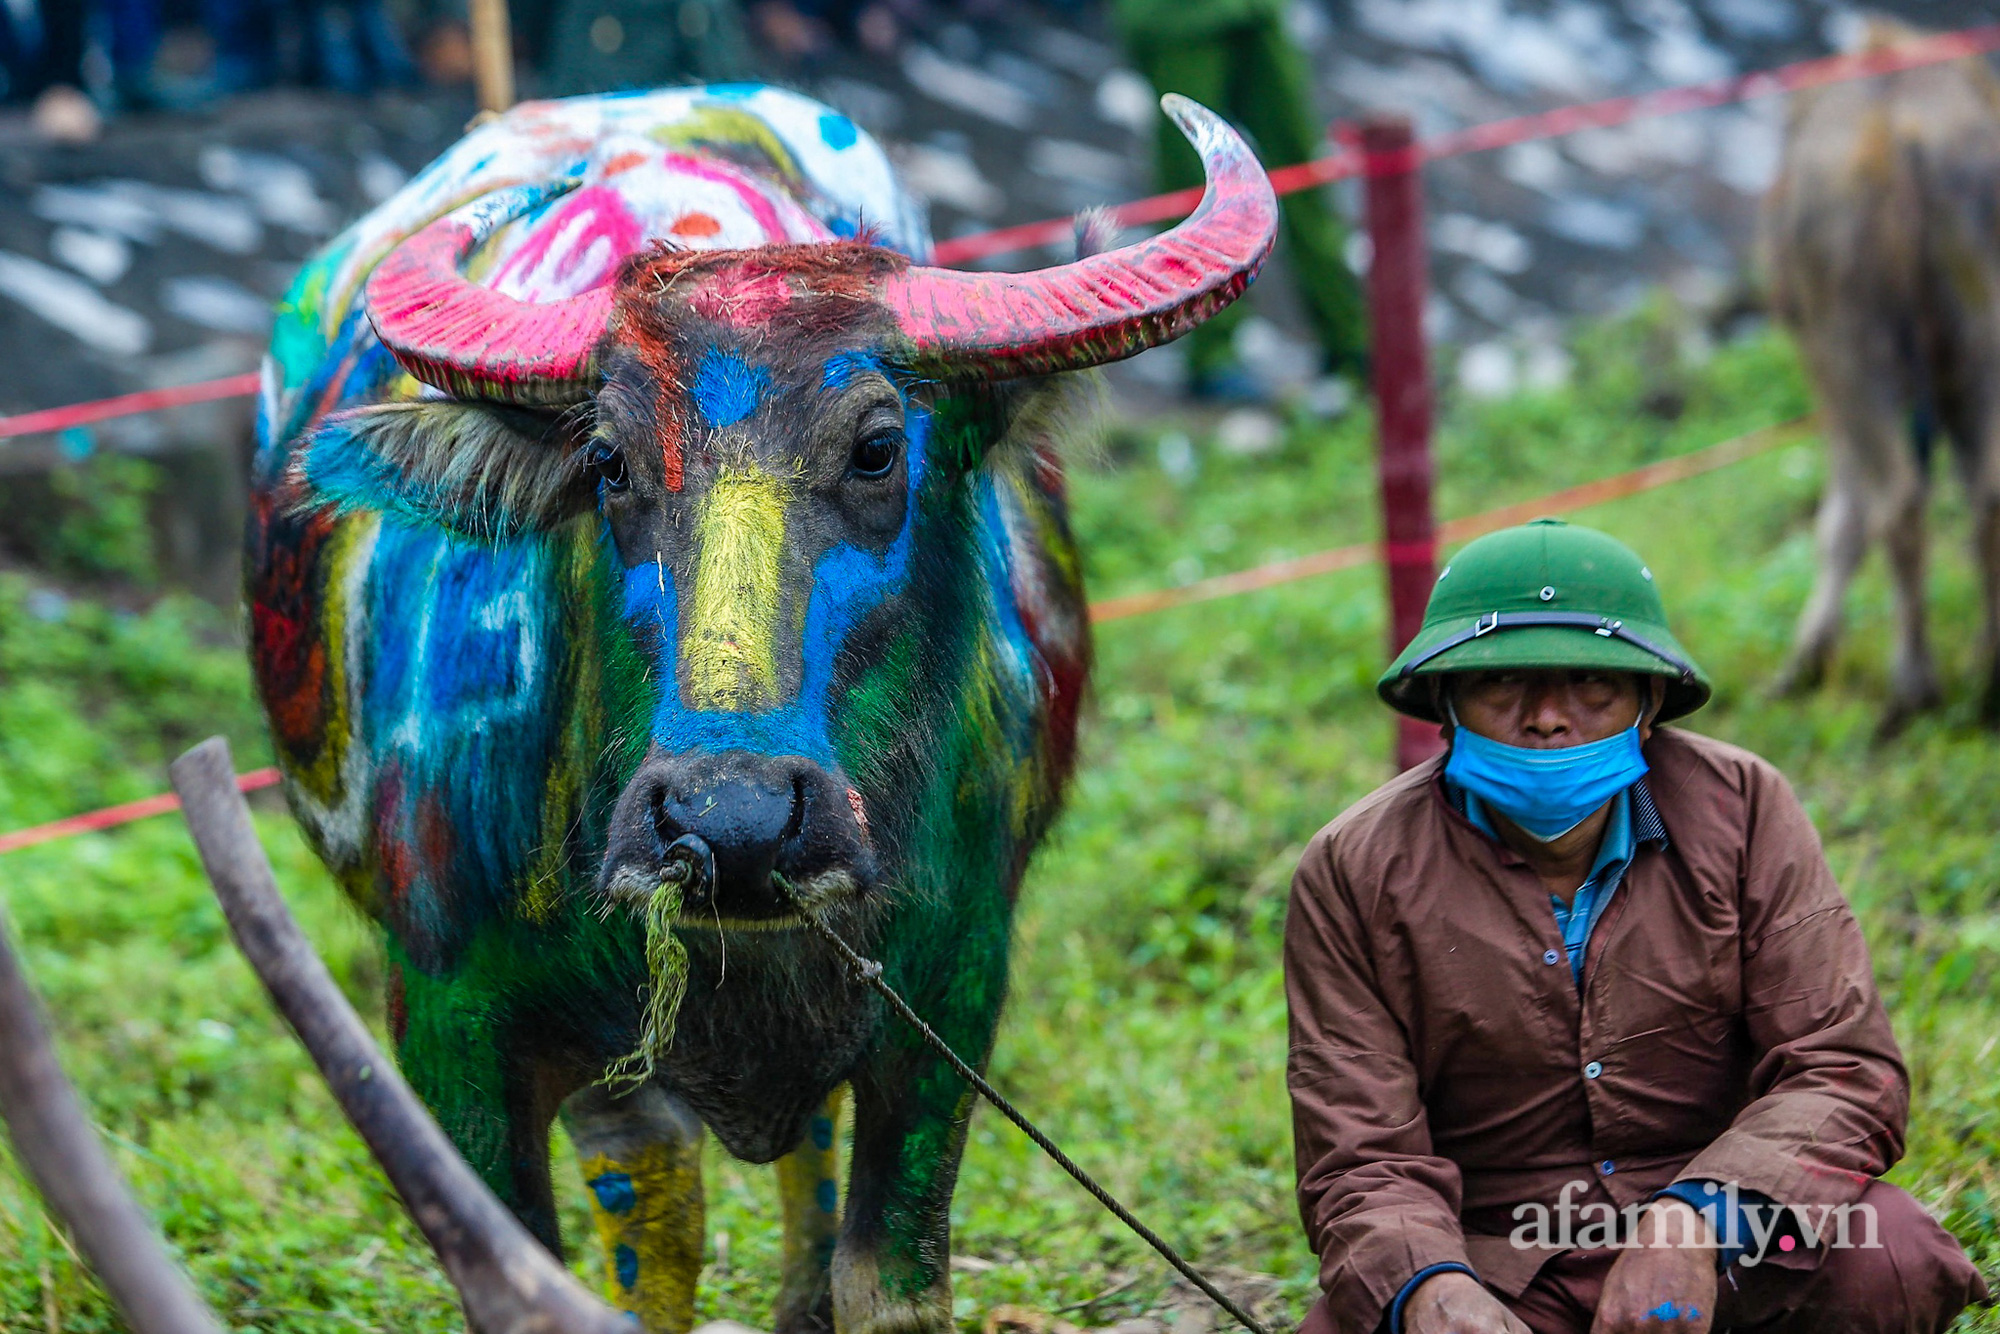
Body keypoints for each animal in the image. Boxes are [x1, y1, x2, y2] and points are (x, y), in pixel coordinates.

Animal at [250, 86, 1272, 1334]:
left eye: (877, 447)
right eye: (606, 461)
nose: (728, 821)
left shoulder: (951, 998)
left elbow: (886, 1277)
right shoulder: (448, 1033)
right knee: (649, 1183)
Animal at [1768, 20, 2000, 732]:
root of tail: (1904, 132)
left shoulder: (1822, 367)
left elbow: (1840, 521)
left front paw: (1807, 661)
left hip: (1851, 344)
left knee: (1895, 499)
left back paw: (1912, 688)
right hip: (1980, 331)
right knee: (1987, 491)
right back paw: (1988, 675)